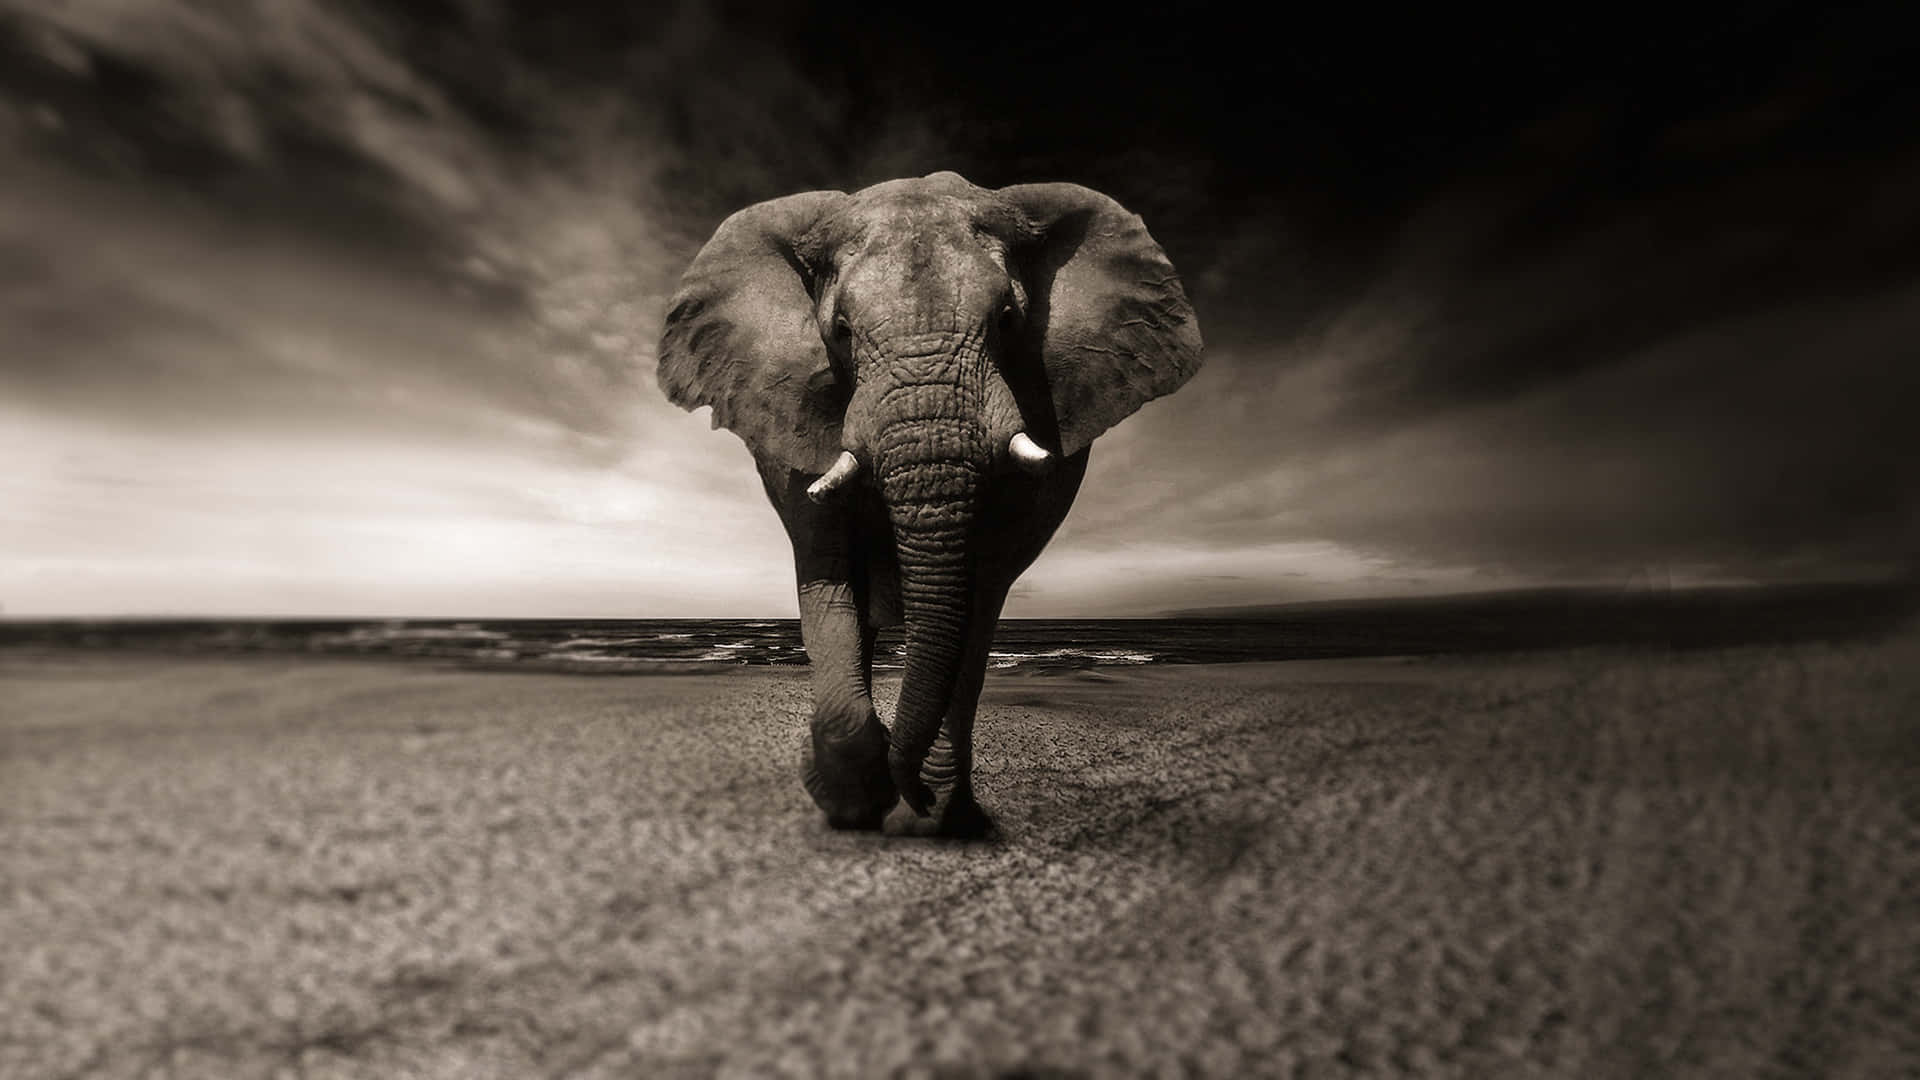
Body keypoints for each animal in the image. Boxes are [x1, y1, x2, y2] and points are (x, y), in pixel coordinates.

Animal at [656, 171, 1202, 836]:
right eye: (840, 332)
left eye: (1008, 319)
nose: (909, 791)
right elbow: (828, 571)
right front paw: (853, 804)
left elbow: (979, 591)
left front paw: (930, 812)